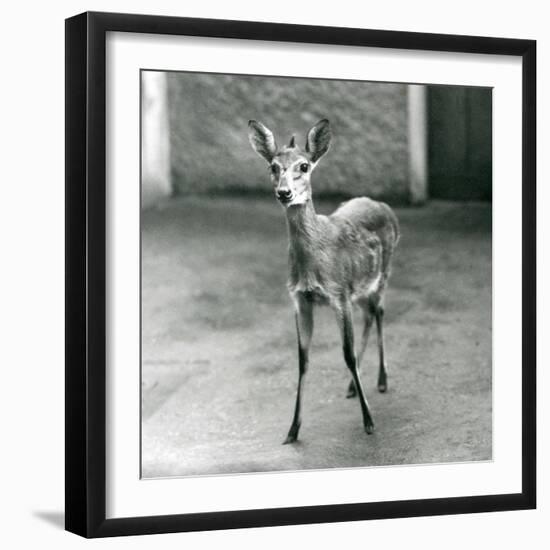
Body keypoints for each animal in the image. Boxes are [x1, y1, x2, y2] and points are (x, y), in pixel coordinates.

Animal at [250, 119, 402, 444]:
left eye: (304, 166)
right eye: (273, 166)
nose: (284, 193)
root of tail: (382, 205)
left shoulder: (338, 294)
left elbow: (346, 355)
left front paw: (369, 422)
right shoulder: (301, 299)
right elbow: (302, 359)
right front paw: (292, 430)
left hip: (382, 275)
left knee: (380, 312)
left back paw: (382, 381)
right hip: (360, 288)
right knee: (369, 314)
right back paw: (353, 387)